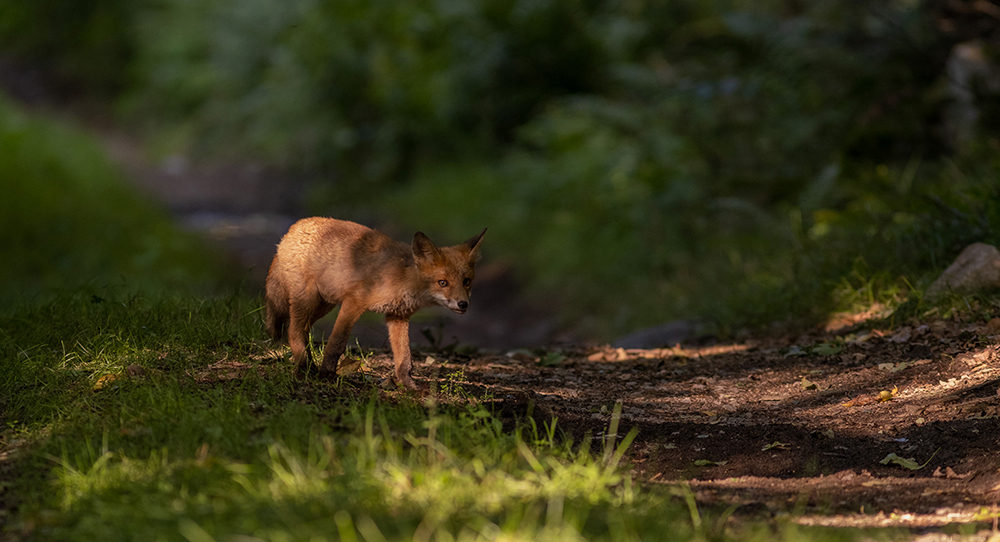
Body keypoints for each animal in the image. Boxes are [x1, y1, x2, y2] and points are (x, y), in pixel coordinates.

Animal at [264, 217, 486, 389]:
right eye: (443, 283)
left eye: (466, 281)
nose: (463, 304)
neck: (403, 278)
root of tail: (293, 227)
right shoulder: (354, 302)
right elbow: (336, 343)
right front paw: (327, 375)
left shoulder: (397, 316)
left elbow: (404, 358)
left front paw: (409, 386)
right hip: (308, 300)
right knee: (293, 330)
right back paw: (304, 369)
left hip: (323, 304)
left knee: (302, 330)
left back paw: (308, 365)